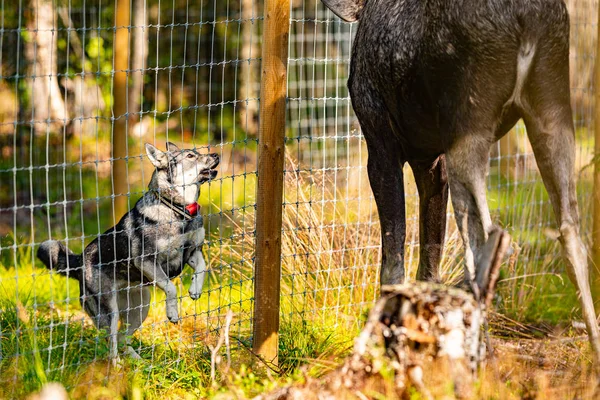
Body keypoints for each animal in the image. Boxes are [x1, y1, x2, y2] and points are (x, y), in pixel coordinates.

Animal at [37, 143, 220, 360]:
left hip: (140, 308)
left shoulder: (192, 252)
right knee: (111, 342)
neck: (178, 211)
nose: (216, 154)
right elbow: (170, 287)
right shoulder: (148, 260)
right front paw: (172, 312)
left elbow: (202, 267)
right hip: (109, 311)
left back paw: (137, 364)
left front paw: (195, 289)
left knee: (123, 338)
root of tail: (80, 262)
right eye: (191, 156)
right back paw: (117, 366)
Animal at [324, 0, 600, 366]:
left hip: (468, 127)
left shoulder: (380, 140)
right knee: (570, 230)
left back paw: (480, 356)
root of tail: (527, 19)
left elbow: (393, 264)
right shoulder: (431, 160)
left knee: (485, 240)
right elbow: (429, 262)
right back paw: (593, 351)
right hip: (552, 111)